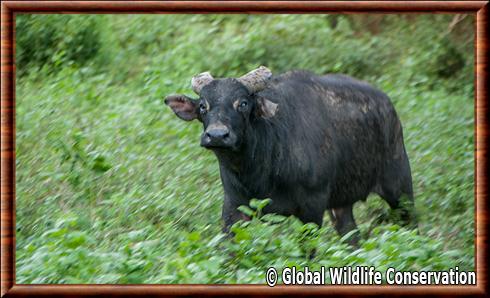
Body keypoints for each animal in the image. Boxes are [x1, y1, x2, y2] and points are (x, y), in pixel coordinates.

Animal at [165, 66, 414, 243]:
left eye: (243, 103)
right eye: (203, 106)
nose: (217, 135)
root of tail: (388, 106)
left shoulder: (312, 209)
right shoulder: (233, 206)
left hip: (400, 187)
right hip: (341, 206)